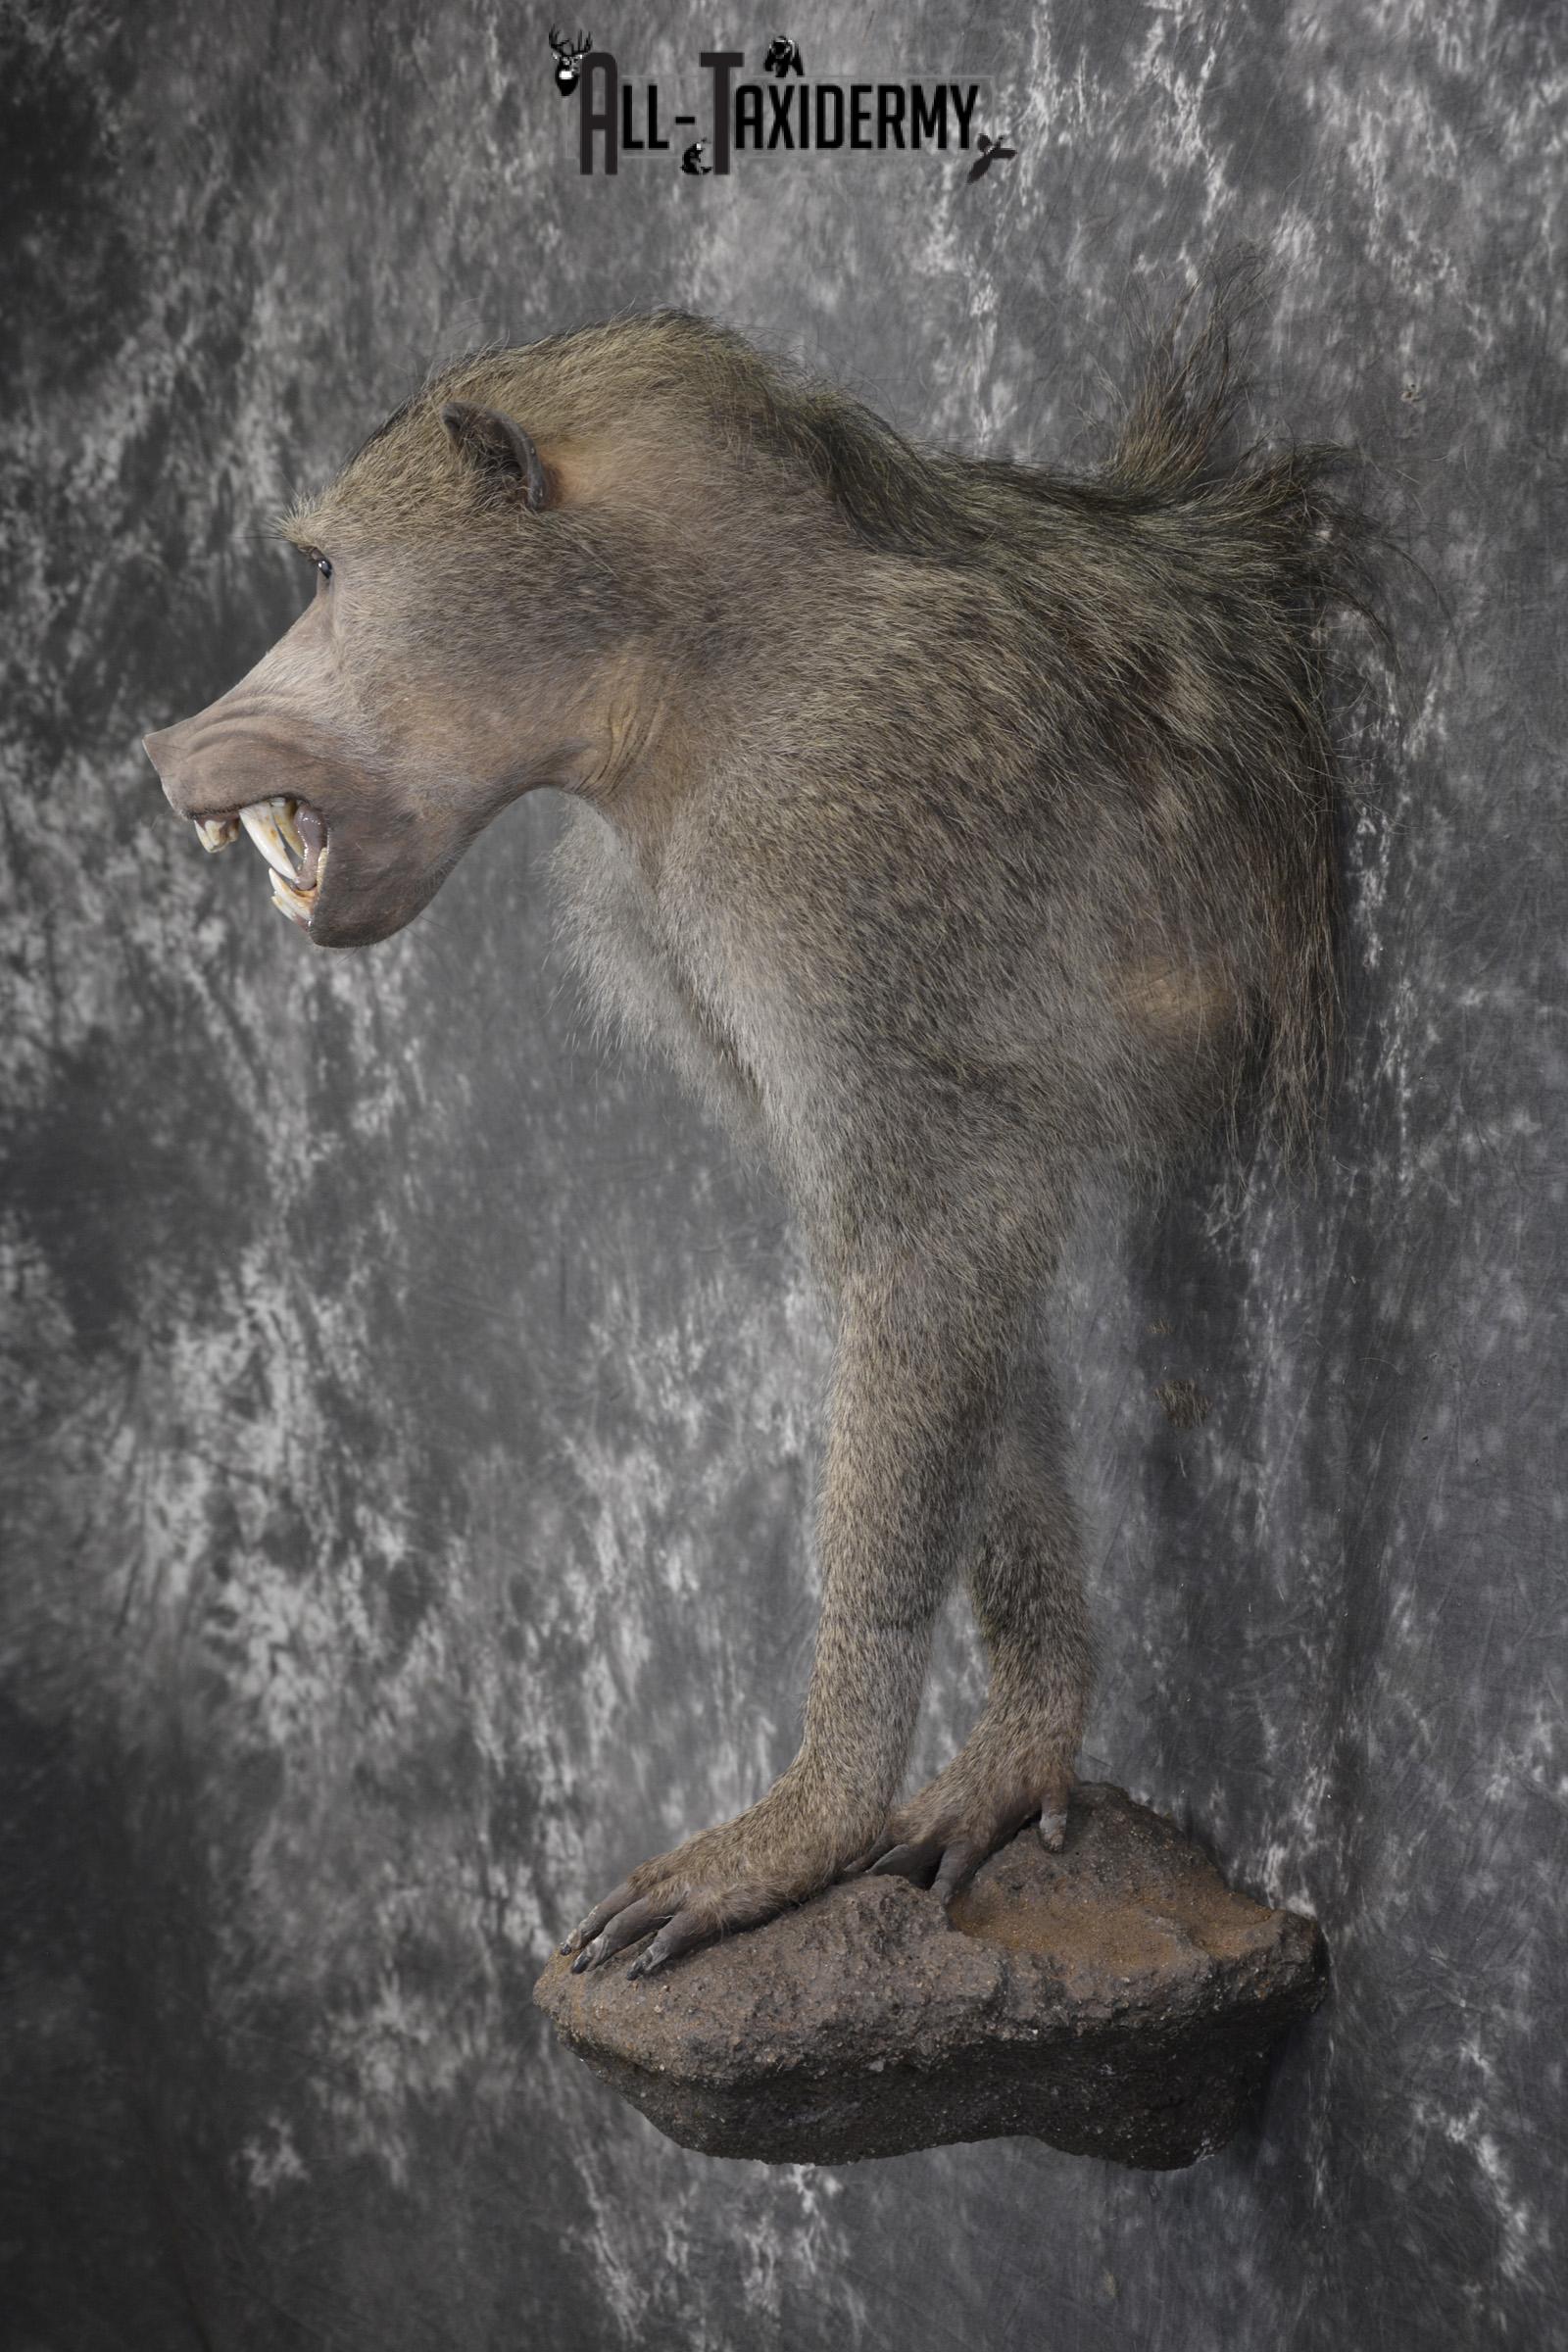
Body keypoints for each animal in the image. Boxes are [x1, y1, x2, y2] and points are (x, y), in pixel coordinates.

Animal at [143, 267, 1379, 1980]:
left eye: (325, 574)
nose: (167, 750)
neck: (702, 659)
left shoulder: (825, 825)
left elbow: (933, 1240)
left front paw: (817, 1813)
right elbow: (947, 1257)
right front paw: (1025, 1737)